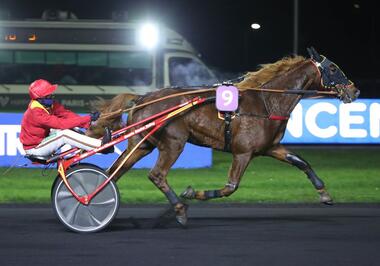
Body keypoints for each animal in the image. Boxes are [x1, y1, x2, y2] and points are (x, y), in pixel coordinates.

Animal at [88, 47, 360, 227]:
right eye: (333, 67)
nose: (355, 90)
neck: (267, 102)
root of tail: (143, 97)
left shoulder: (271, 147)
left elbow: (301, 162)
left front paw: (324, 193)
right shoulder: (243, 152)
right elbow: (231, 187)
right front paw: (192, 194)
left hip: (142, 144)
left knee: (115, 172)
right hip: (173, 143)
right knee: (156, 175)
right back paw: (179, 209)